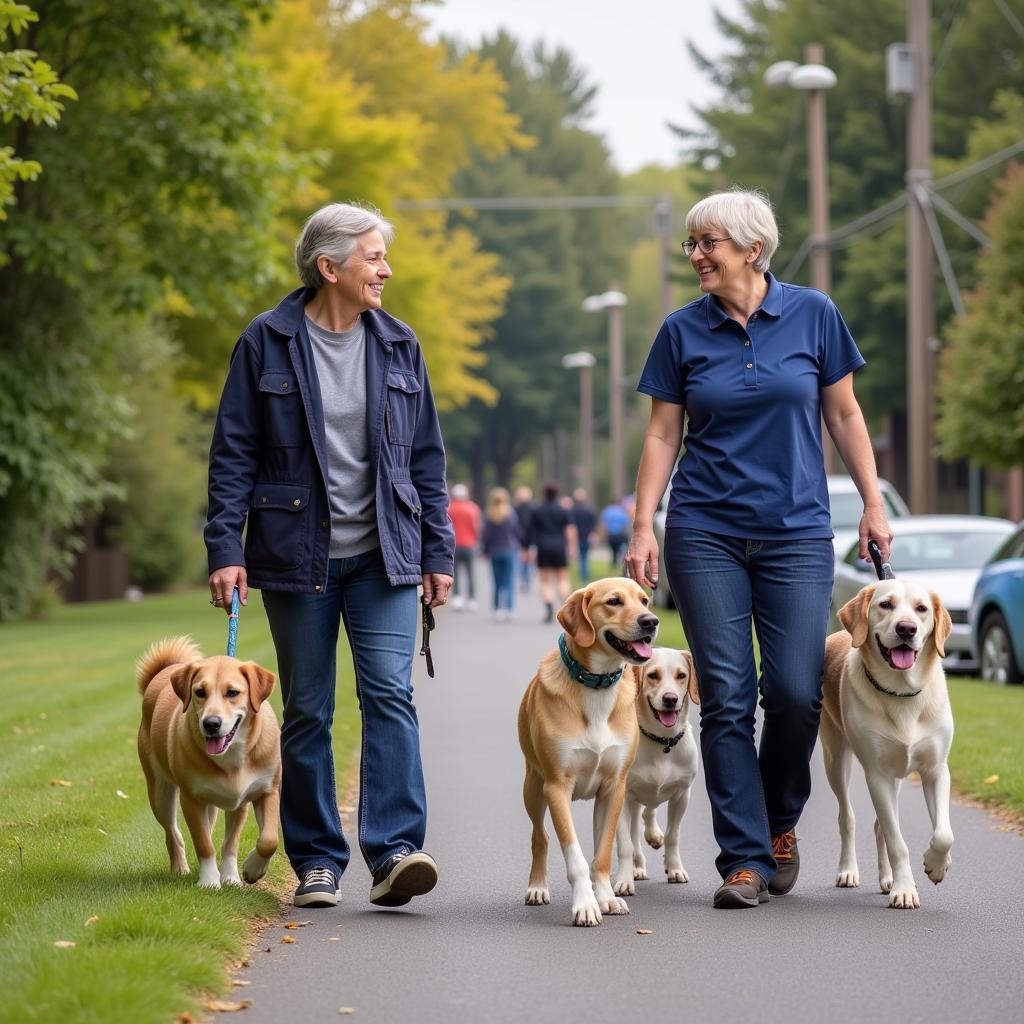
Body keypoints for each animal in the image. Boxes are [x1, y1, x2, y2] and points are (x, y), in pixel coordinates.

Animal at [136, 634, 282, 884]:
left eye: (232, 692)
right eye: (200, 692)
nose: (211, 723)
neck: (232, 756)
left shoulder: (263, 792)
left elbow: (265, 840)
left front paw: (242, 873)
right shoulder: (191, 799)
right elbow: (203, 843)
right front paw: (209, 881)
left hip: (212, 804)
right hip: (160, 792)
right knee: (173, 832)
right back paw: (180, 867)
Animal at [610, 647, 700, 897]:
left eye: (681, 675)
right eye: (653, 675)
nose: (670, 699)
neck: (662, 741)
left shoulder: (682, 794)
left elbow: (672, 836)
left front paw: (675, 868)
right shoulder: (622, 796)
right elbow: (626, 843)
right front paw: (624, 880)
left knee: (648, 813)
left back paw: (654, 838)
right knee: (634, 832)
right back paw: (637, 867)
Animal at [819, 581, 954, 909]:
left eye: (922, 609)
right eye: (885, 605)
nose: (906, 628)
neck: (902, 692)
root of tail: (837, 634)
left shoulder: (936, 770)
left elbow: (944, 833)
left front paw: (936, 865)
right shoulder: (876, 774)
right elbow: (897, 842)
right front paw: (905, 889)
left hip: (896, 777)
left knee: (880, 825)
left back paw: (887, 877)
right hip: (836, 761)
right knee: (848, 818)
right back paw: (848, 870)